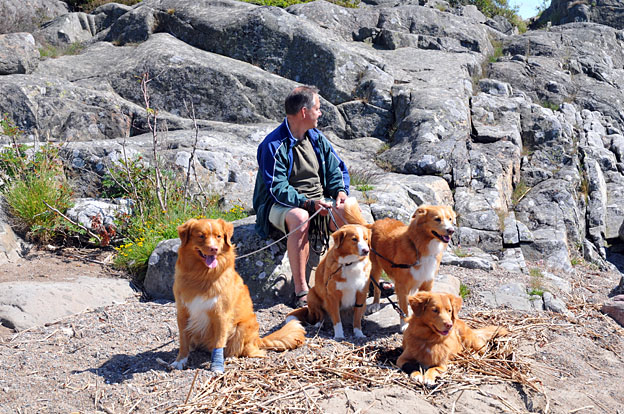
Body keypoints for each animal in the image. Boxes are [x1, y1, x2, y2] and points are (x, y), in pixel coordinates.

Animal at [169, 218, 306, 374]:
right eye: (201, 236)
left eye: (218, 236)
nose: (214, 249)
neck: (201, 274)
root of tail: (257, 339)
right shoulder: (183, 312)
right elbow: (183, 340)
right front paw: (180, 360)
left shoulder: (221, 315)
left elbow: (219, 342)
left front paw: (217, 365)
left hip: (243, 326)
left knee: (242, 350)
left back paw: (229, 357)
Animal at [344, 200, 456, 330]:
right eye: (437, 219)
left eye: (450, 219)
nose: (451, 230)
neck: (418, 246)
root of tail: (373, 224)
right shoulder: (402, 284)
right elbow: (403, 307)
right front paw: (405, 324)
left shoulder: (427, 283)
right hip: (375, 268)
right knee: (377, 288)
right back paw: (376, 304)